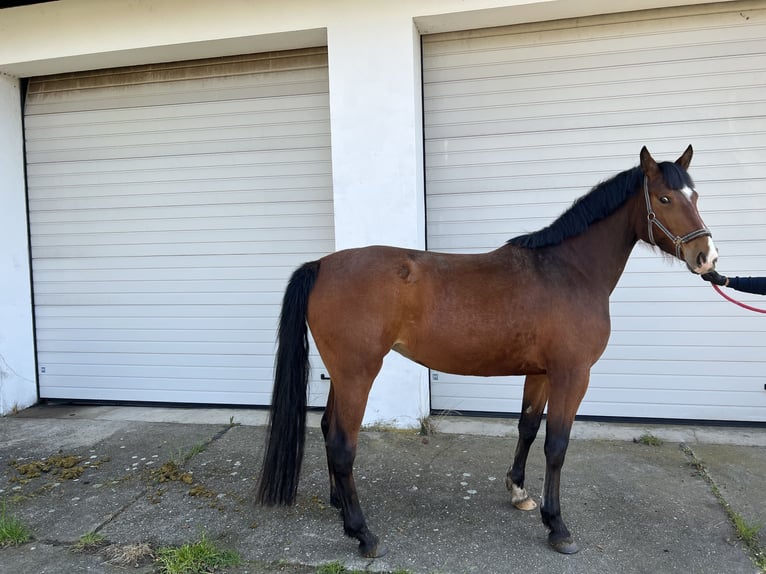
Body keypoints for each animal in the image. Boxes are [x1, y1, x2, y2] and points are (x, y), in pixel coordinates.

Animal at [256, 146, 720, 560]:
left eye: (695, 195)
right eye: (664, 198)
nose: (707, 257)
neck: (568, 270)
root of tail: (321, 265)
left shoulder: (542, 373)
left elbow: (528, 428)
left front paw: (519, 491)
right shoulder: (572, 374)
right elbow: (557, 445)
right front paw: (557, 526)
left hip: (342, 373)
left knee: (326, 429)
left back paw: (339, 504)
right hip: (358, 373)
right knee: (342, 444)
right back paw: (362, 533)